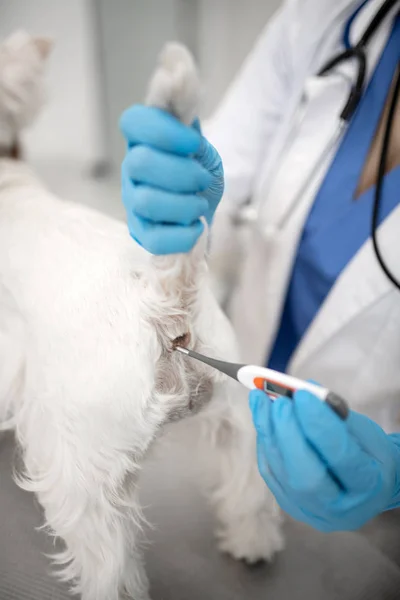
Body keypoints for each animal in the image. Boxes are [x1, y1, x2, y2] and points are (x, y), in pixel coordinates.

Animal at [0, 31, 282, 600]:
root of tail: (161, 299)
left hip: (80, 473)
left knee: (109, 560)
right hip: (238, 415)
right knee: (249, 485)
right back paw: (252, 543)